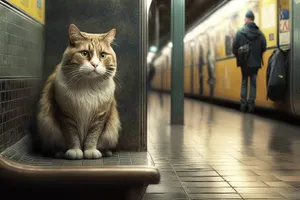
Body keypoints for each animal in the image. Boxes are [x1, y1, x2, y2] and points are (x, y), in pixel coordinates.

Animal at [36, 24, 122, 160]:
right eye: (84, 53)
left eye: (102, 55)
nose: (95, 64)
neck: (87, 86)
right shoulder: (66, 115)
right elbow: (72, 136)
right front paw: (75, 151)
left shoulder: (99, 118)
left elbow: (93, 136)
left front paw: (90, 151)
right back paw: (59, 153)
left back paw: (105, 152)